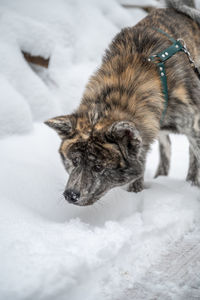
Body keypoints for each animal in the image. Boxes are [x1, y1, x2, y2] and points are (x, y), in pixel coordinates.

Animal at [45, 0, 200, 206]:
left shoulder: (194, 127)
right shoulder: (145, 138)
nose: (71, 195)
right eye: (75, 161)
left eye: (98, 166)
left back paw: (190, 183)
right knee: (166, 146)